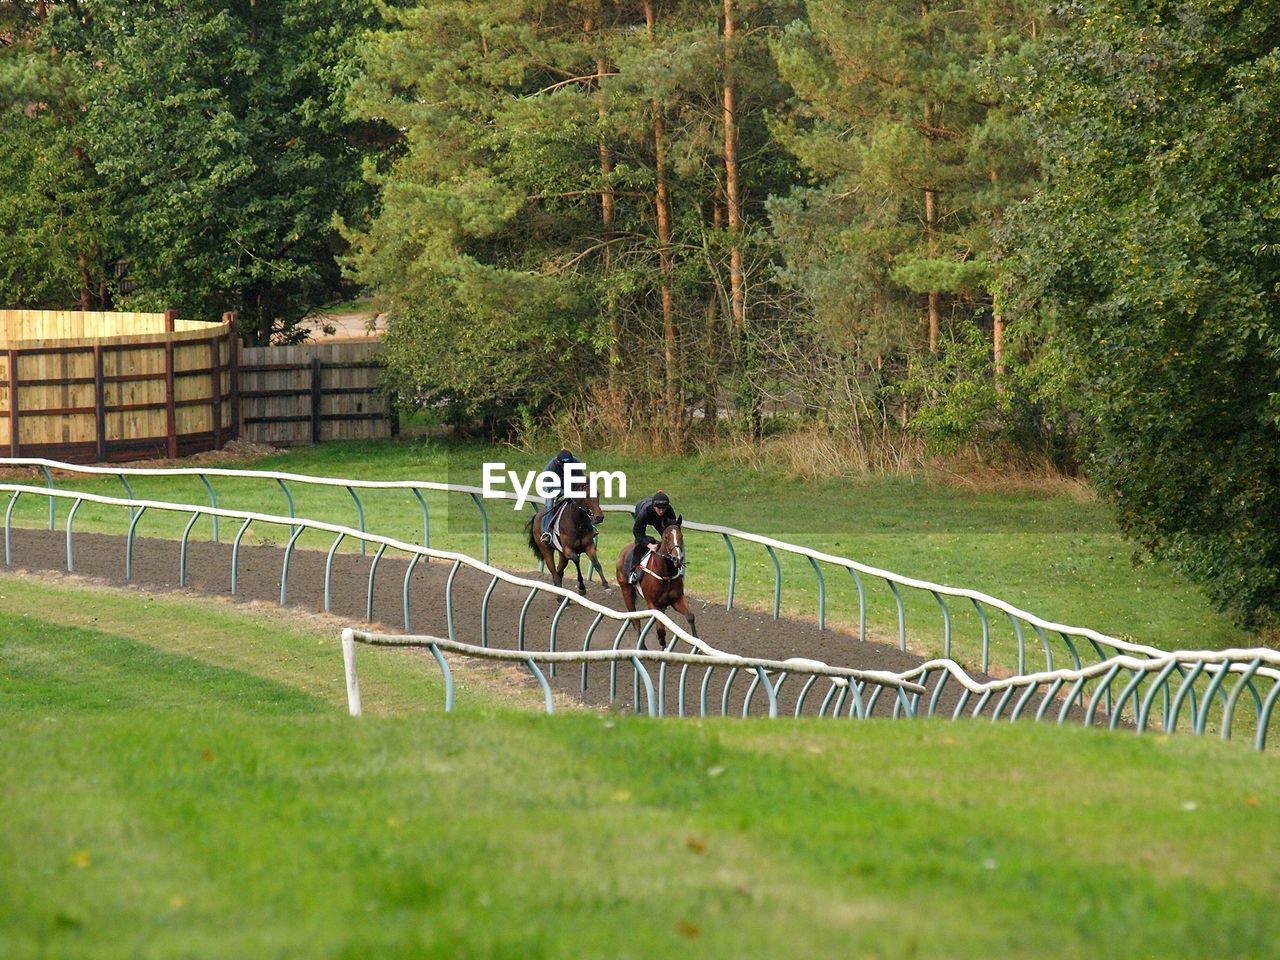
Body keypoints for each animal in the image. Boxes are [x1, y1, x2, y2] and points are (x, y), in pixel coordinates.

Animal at [611, 519, 696, 655]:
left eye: (681, 536)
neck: (666, 574)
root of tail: (623, 551)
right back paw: (642, 647)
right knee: (635, 620)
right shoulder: (652, 603)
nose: (677, 559)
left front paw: (696, 641)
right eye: (666, 537)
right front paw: (662, 644)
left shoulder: (677, 599)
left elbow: (690, 617)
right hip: (626, 591)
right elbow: (660, 630)